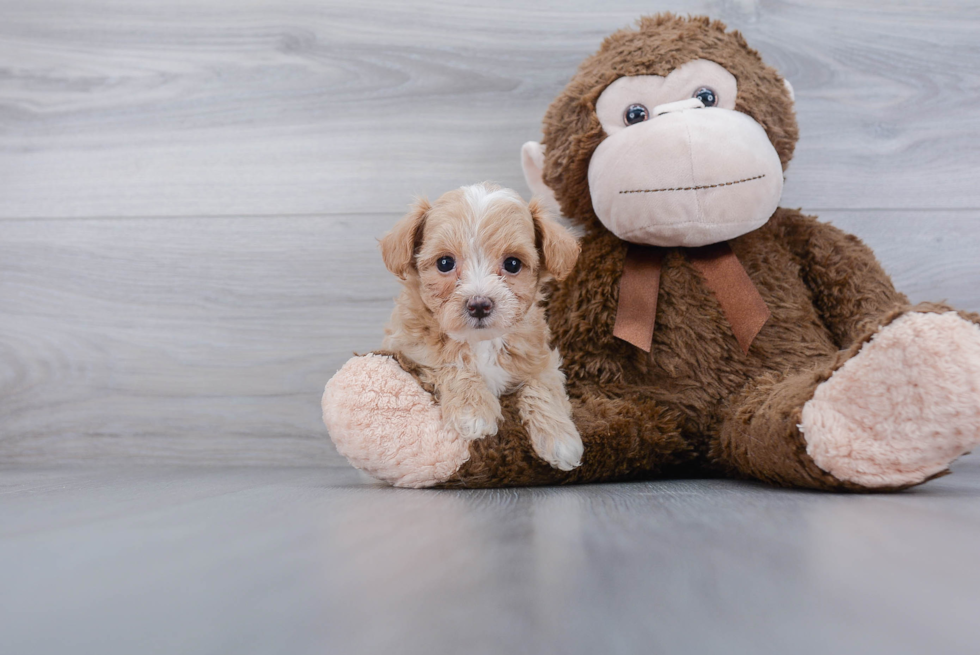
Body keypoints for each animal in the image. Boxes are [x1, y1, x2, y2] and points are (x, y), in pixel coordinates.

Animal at [378, 184, 584, 472]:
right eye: (445, 263)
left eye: (512, 264)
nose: (479, 305)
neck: (482, 342)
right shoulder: (410, 350)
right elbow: (452, 365)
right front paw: (472, 410)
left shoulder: (541, 360)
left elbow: (543, 387)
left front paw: (560, 438)